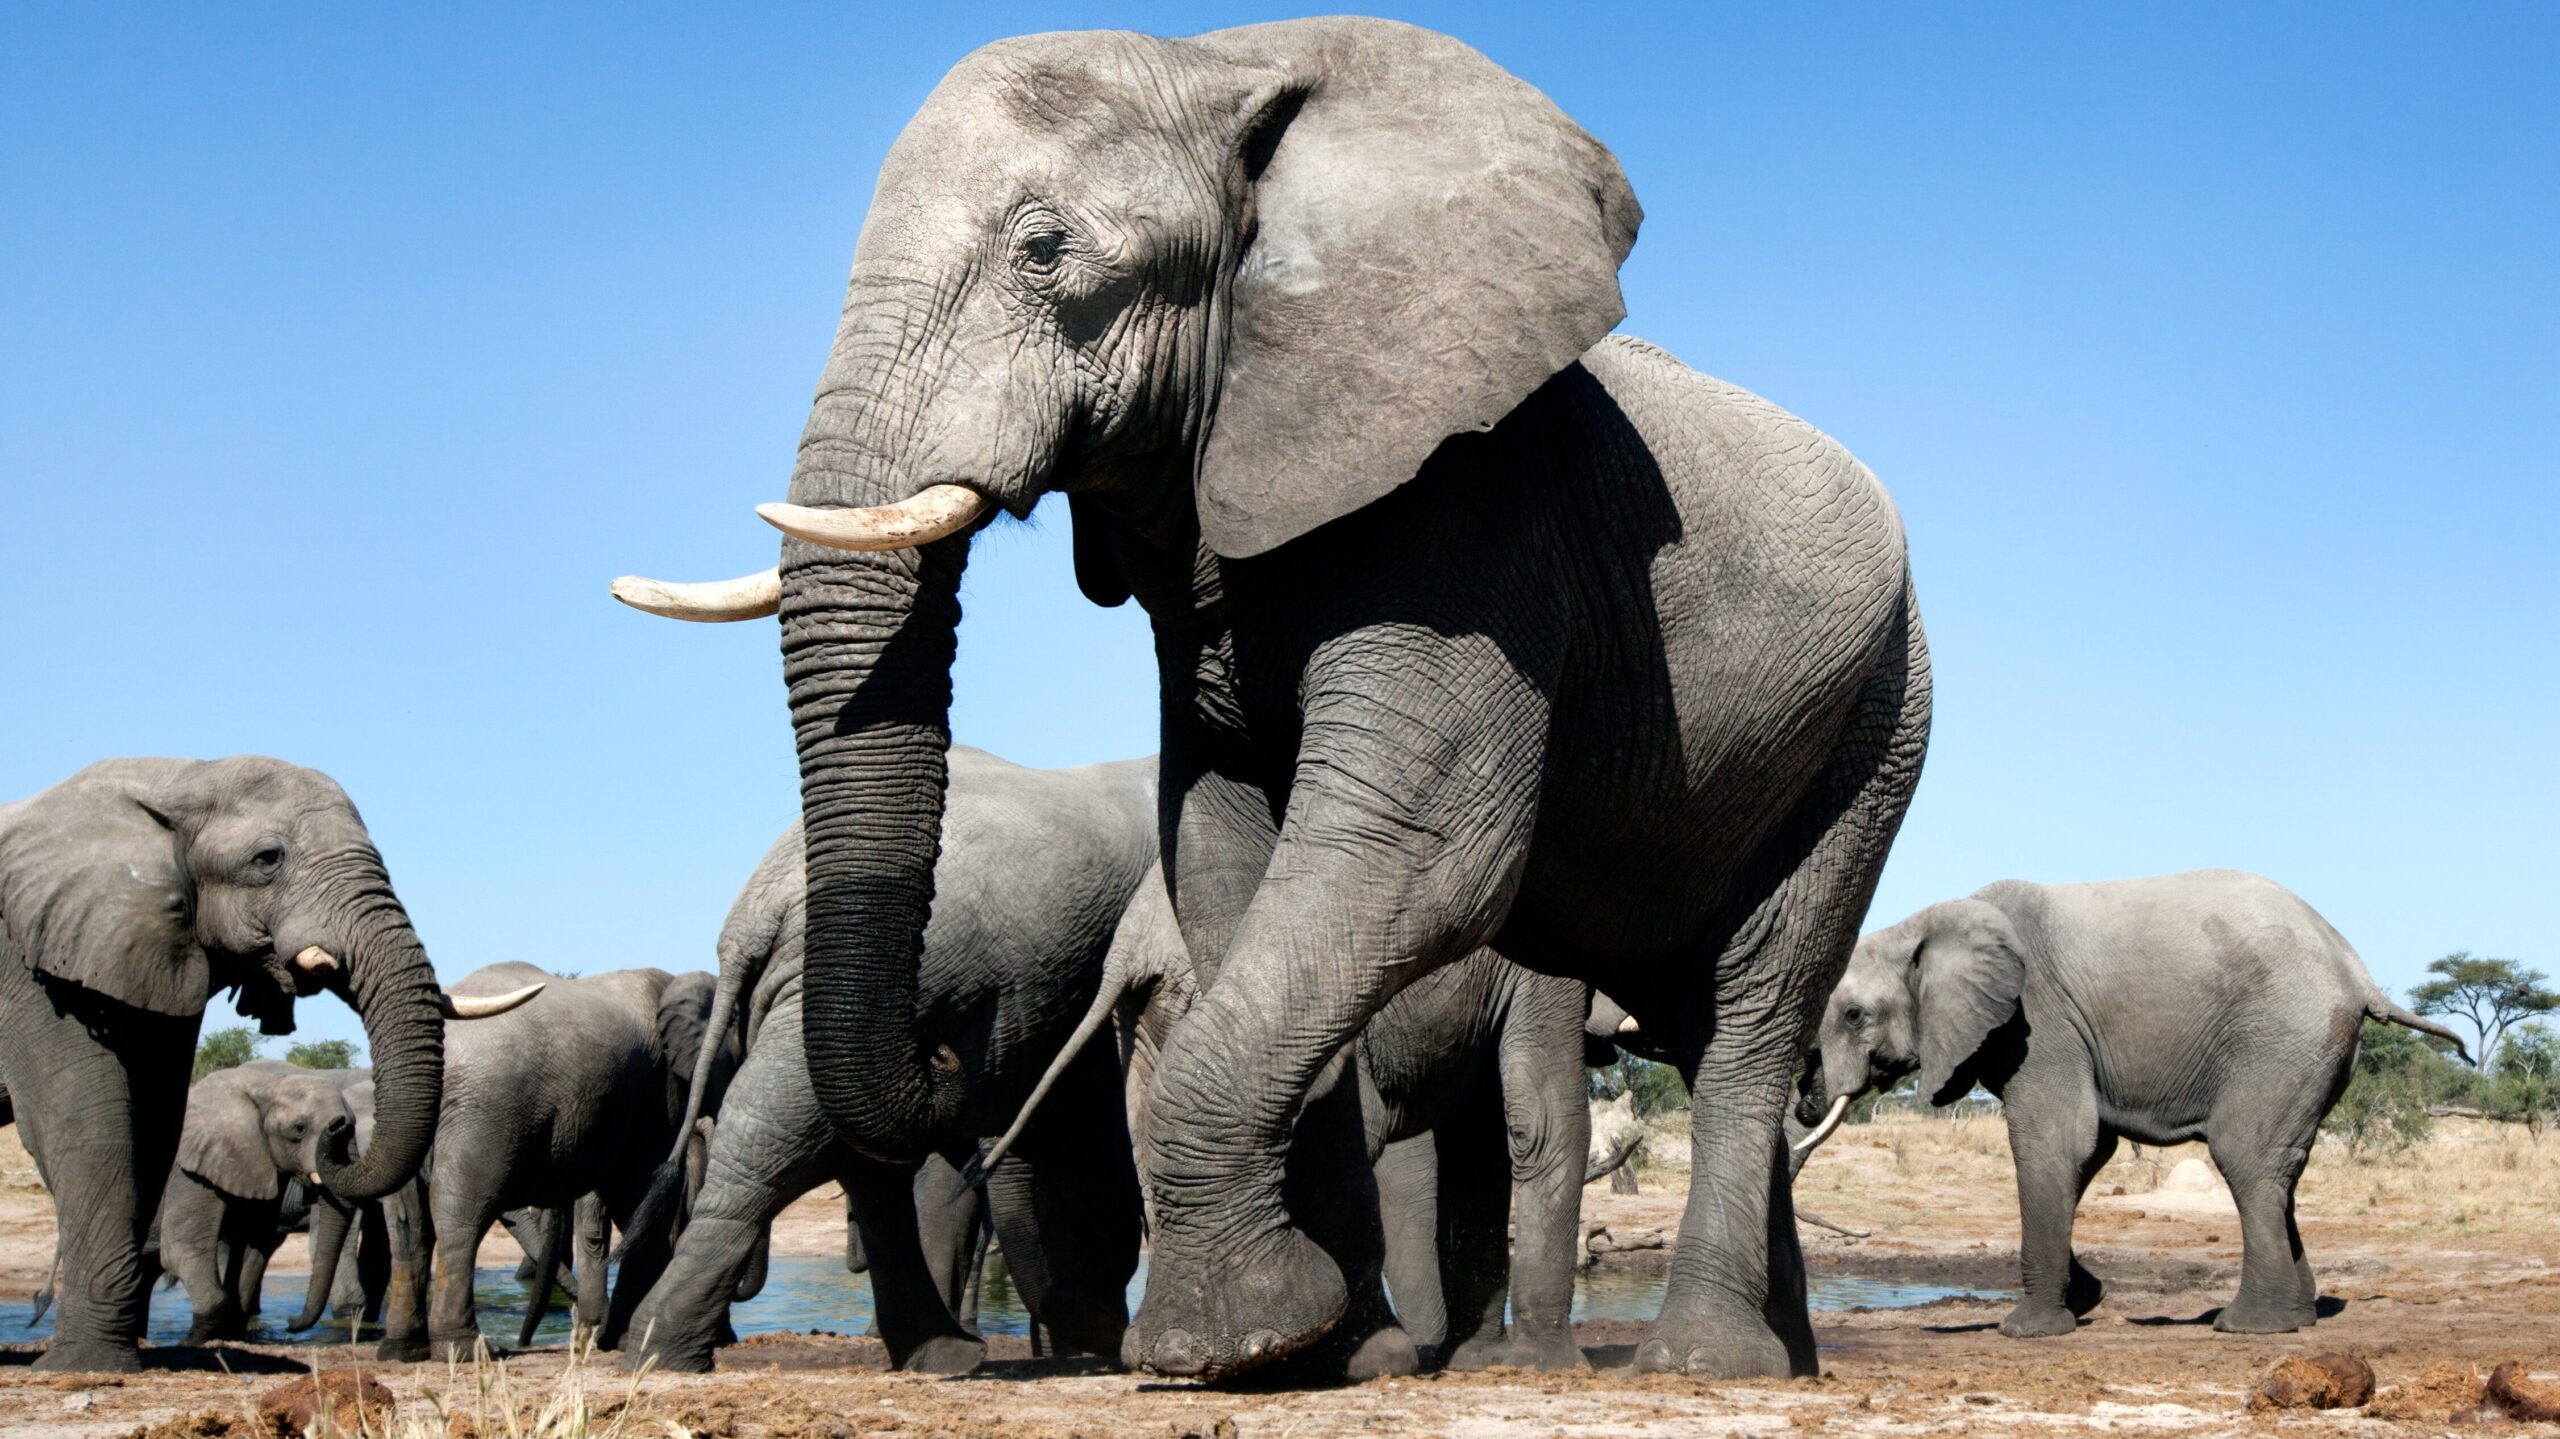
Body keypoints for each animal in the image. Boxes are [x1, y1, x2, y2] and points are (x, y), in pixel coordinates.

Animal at [0, 757, 536, 1370]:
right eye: (267, 859)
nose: (339, 1132)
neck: (174, 778)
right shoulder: (36, 967)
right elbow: (85, 1124)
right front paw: (89, 1364)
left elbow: (155, 1121)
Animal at [374, 962, 734, 1361]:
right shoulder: (658, 1094)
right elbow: (638, 1199)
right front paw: (625, 1341)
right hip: (484, 1112)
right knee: (462, 1213)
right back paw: (465, 1351)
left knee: (411, 1229)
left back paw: (402, 1351)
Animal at [1795, 870, 2470, 1339]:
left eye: (1854, 1016)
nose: (1807, 1100)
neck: (1924, 924)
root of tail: (2358, 973)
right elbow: (2090, 1147)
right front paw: (2084, 1298)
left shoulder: (2037, 1021)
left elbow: (2056, 1140)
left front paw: (2029, 1329)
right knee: (2284, 1171)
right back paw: (2300, 1316)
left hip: (2281, 1037)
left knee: (2246, 1156)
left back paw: (2249, 1325)